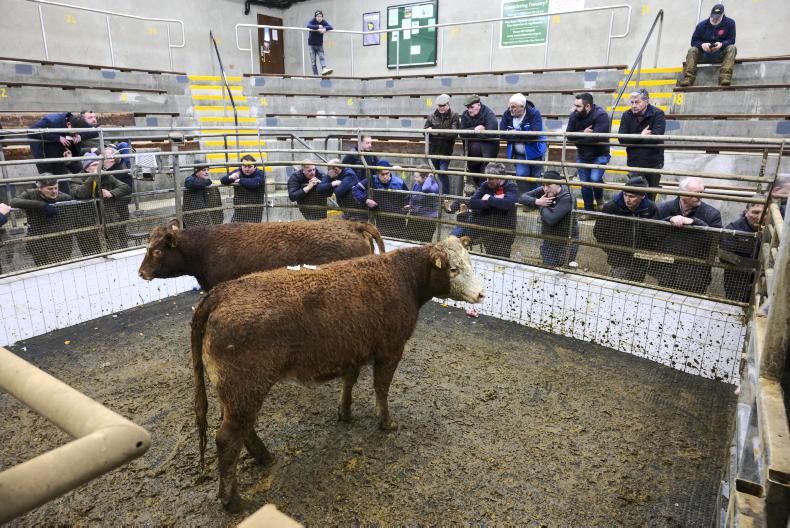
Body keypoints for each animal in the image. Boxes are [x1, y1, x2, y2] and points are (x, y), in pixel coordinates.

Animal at [190, 236, 485, 511]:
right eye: (454, 268)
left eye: (471, 262)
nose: (482, 294)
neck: (402, 278)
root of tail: (220, 293)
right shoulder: (391, 349)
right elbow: (381, 387)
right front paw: (386, 422)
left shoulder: (352, 350)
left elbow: (349, 382)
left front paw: (345, 412)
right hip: (245, 387)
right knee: (227, 439)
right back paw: (231, 500)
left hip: (236, 392)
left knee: (242, 429)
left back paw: (264, 456)